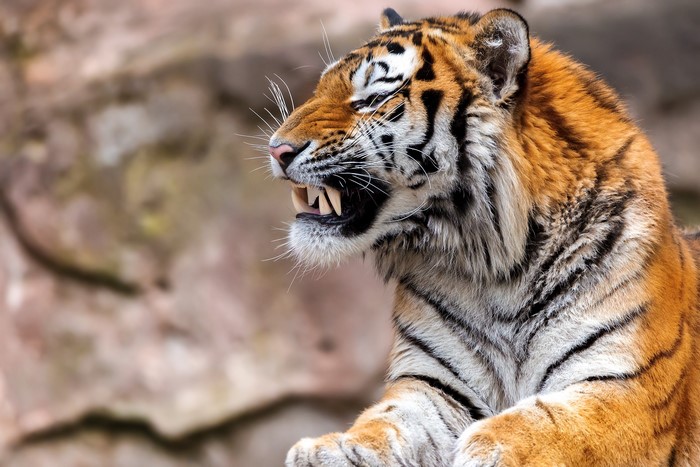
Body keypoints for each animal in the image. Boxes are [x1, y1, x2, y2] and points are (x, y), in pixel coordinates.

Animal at [266, 7, 700, 467]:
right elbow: (385, 421)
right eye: (320, 88)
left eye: (372, 99)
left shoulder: (630, 385)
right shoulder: (433, 385)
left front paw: (488, 446)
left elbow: (547, 425)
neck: (496, 265)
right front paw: (330, 449)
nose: (276, 149)